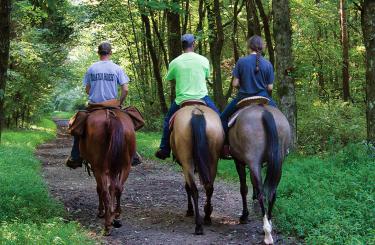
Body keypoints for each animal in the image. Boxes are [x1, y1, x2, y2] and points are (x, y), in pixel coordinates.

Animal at [79, 106, 137, 235]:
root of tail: (111, 115)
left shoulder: (96, 168)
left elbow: (100, 189)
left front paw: (102, 212)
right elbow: (113, 188)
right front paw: (111, 213)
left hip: (99, 168)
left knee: (104, 191)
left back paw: (107, 226)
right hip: (126, 166)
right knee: (118, 188)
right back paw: (117, 217)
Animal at [171, 106, 226, 235]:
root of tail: (196, 111)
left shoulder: (183, 166)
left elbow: (187, 187)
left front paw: (189, 210)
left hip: (187, 162)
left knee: (194, 189)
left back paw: (198, 224)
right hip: (213, 161)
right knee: (209, 187)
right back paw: (207, 217)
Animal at [229, 99, 290, 243]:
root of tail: (264, 112)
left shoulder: (239, 162)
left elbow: (244, 189)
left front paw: (244, 216)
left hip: (253, 162)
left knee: (261, 193)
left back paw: (267, 233)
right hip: (278, 161)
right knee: (272, 193)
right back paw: (268, 226)